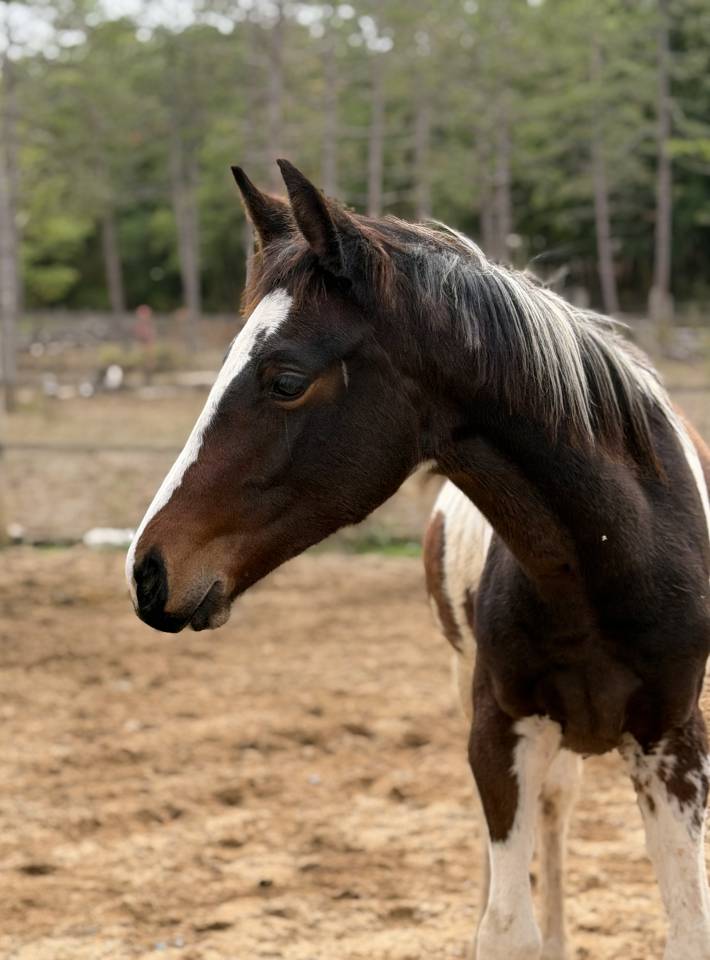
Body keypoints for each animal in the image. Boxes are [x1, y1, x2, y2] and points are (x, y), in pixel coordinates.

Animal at [126, 160, 710, 960]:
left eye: (285, 379)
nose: (147, 570)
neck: (613, 559)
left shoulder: (675, 745)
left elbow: (685, 923)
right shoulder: (499, 733)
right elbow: (506, 925)